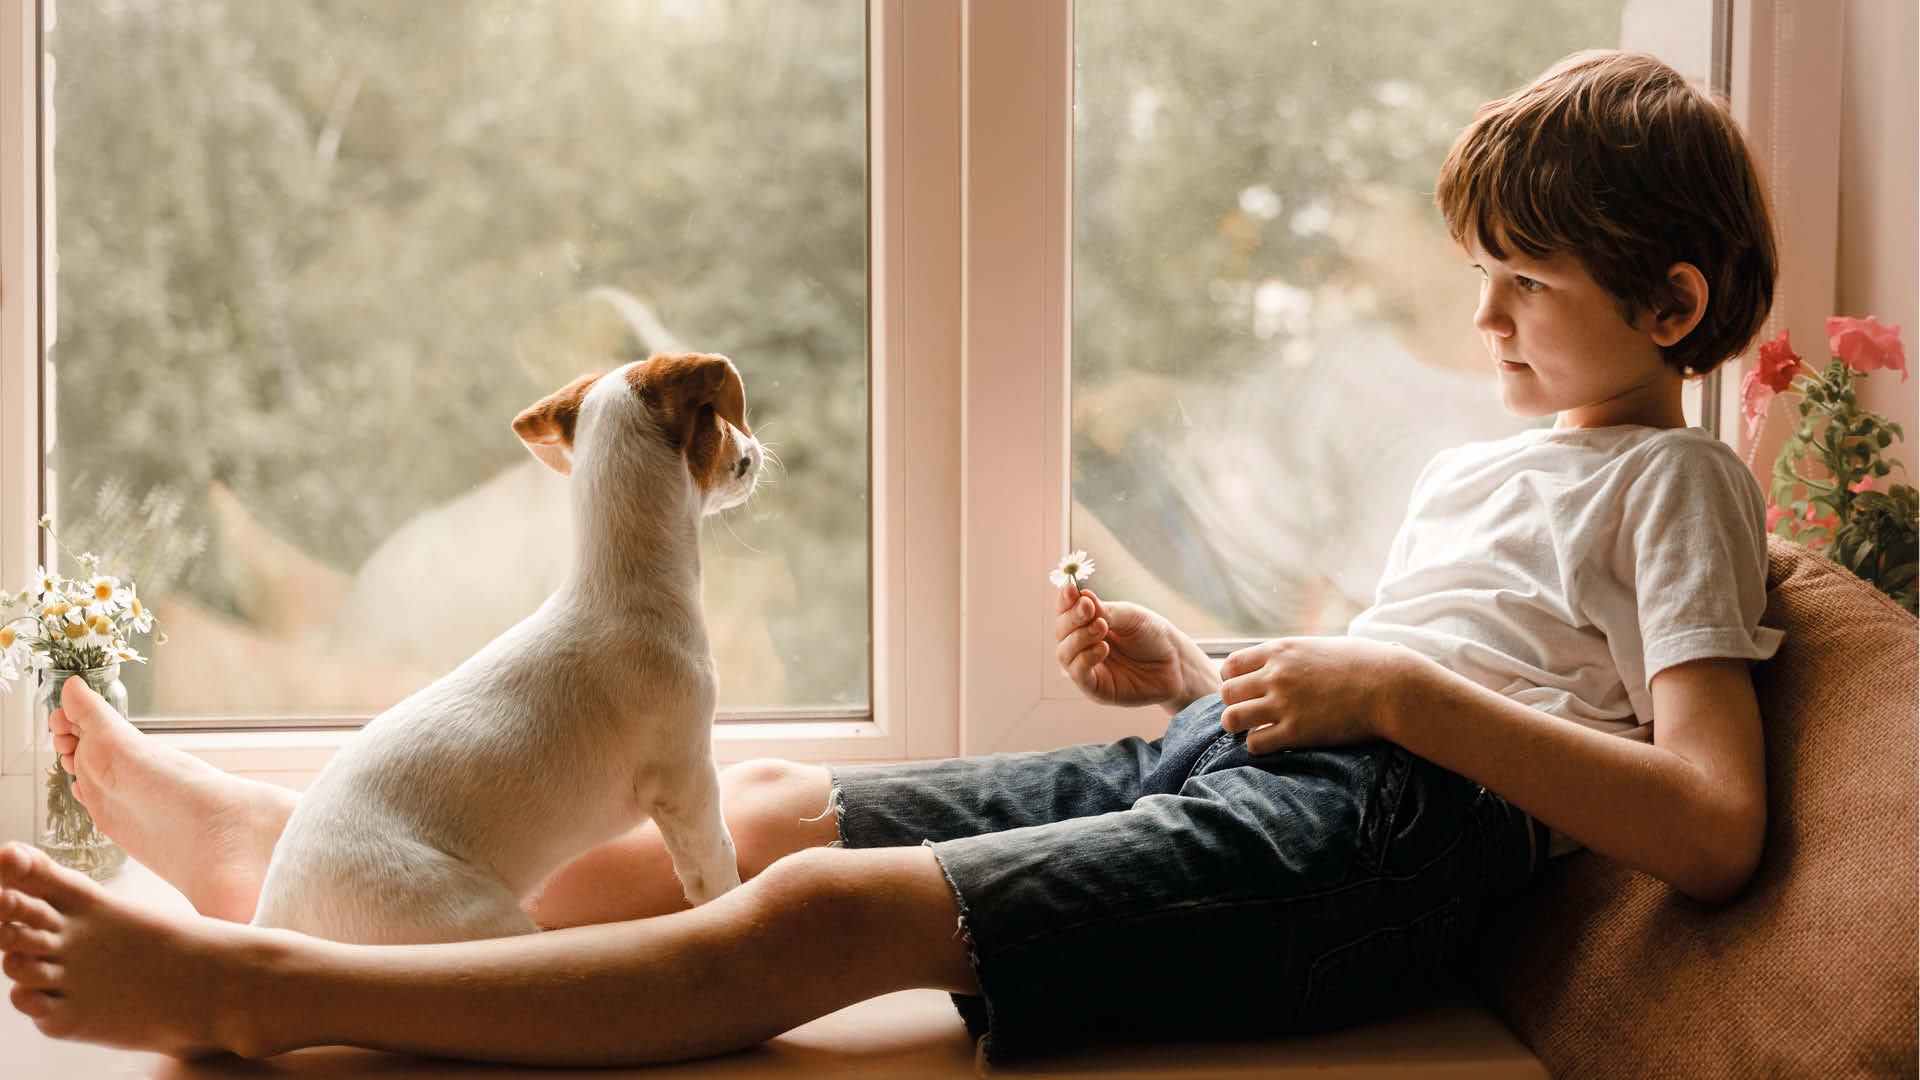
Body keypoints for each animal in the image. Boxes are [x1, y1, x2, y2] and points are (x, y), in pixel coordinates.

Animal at [249, 353, 764, 941]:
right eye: (721, 422)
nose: (757, 453)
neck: (627, 589)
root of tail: (275, 922)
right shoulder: (686, 779)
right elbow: (716, 868)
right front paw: (732, 905)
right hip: (476, 919)